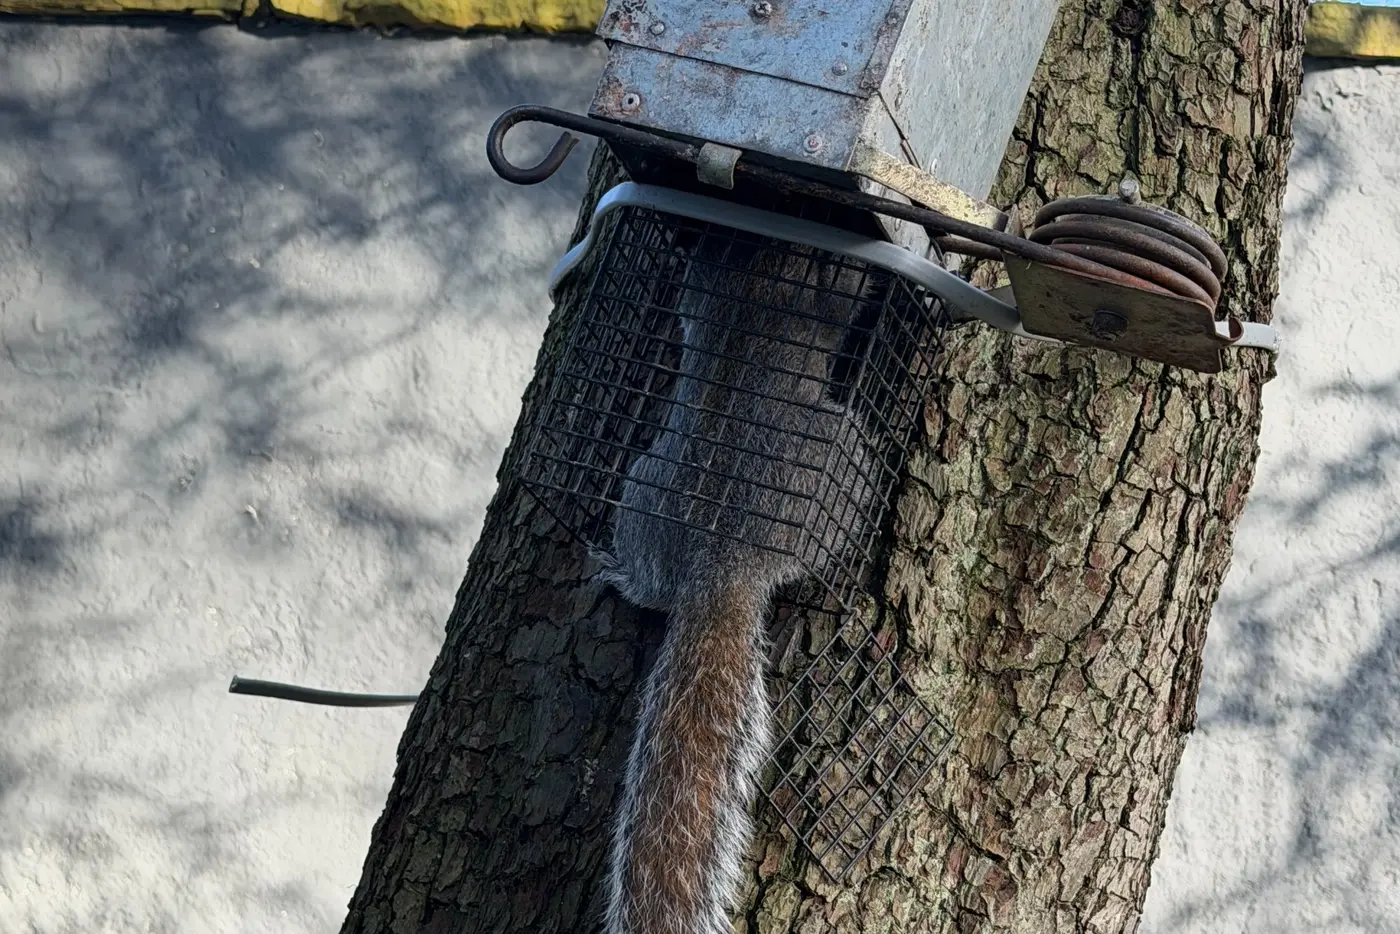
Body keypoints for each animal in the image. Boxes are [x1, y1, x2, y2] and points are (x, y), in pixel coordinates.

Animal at [595, 230, 885, 934]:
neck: (762, 256)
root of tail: (717, 562)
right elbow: (837, 298)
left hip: (643, 491)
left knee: (650, 583)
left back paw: (621, 572)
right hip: (845, 457)